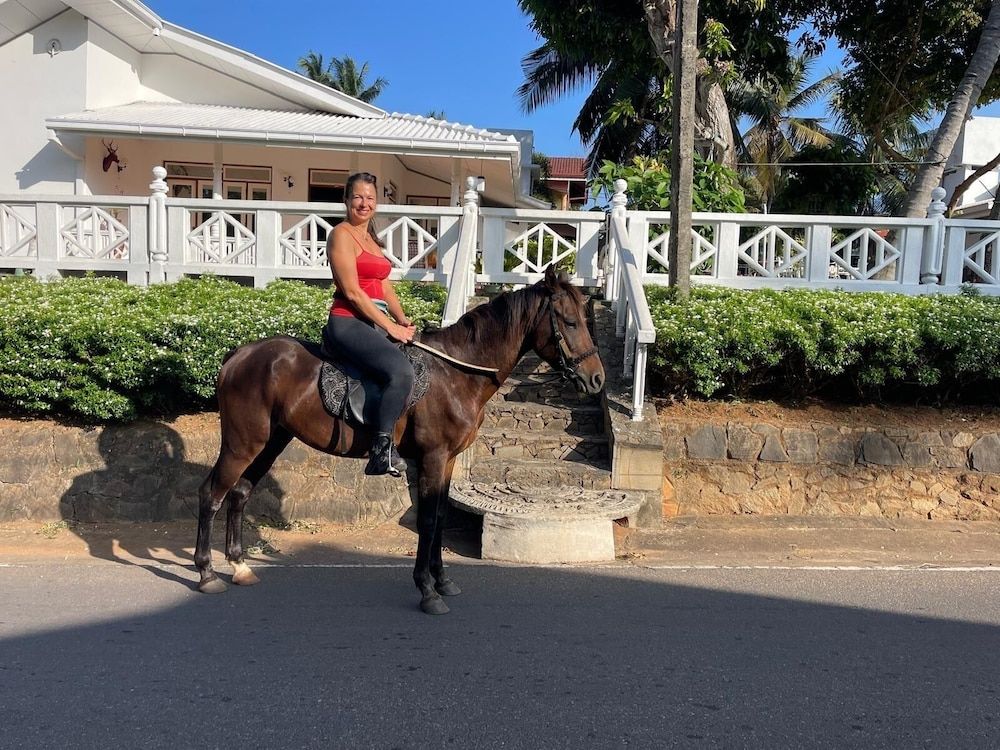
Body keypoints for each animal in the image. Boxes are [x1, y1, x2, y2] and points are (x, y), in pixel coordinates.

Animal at [194, 266, 606, 614]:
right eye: (570, 322)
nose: (597, 379)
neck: (457, 373)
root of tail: (238, 355)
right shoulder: (432, 458)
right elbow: (427, 520)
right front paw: (426, 590)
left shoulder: (448, 461)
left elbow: (440, 516)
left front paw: (443, 581)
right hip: (243, 442)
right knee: (212, 494)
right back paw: (207, 573)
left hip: (270, 442)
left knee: (239, 493)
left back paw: (239, 566)